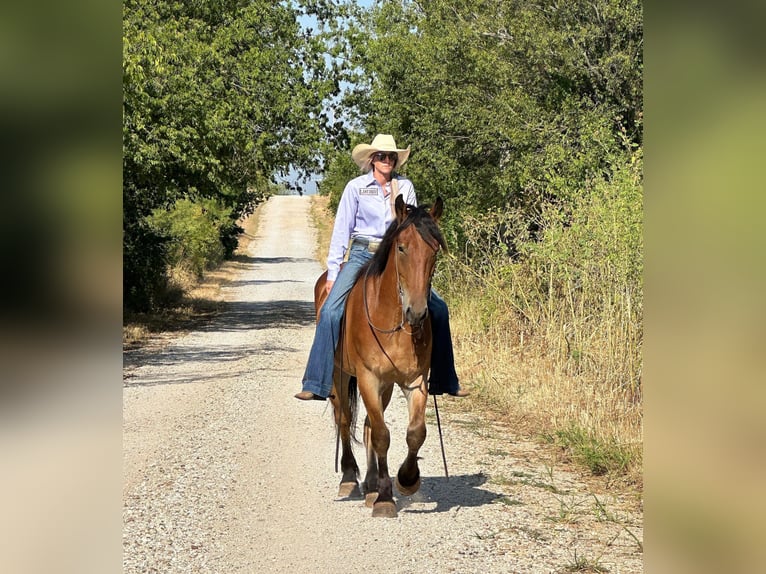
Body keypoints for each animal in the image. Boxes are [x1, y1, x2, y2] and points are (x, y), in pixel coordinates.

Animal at [312, 196, 448, 520]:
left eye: (434, 251)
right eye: (401, 247)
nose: (417, 312)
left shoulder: (414, 381)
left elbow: (415, 432)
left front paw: (407, 480)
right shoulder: (368, 378)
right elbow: (383, 435)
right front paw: (386, 499)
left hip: (384, 385)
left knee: (367, 425)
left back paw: (371, 485)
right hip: (339, 375)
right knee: (345, 419)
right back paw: (350, 478)